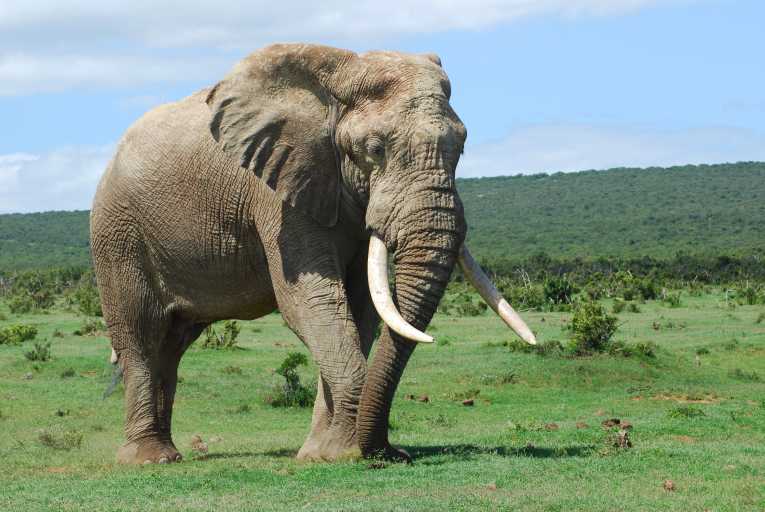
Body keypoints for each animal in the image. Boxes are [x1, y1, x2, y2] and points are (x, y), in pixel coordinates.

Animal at [91, 43, 536, 465]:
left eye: (461, 147)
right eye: (375, 149)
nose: (390, 453)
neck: (339, 78)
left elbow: (359, 308)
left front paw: (328, 453)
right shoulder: (278, 192)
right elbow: (311, 302)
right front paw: (345, 453)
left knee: (172, 345)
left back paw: (166, 453)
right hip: (117, 234)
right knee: (141, 335)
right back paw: (149, 460)